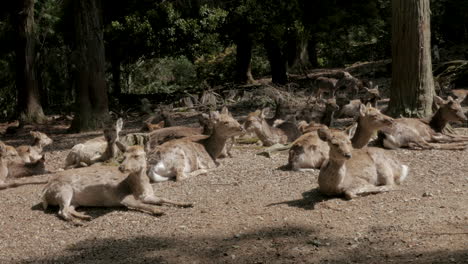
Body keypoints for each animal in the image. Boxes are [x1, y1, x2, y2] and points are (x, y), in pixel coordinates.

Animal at [41, 143, 191, 222]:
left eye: (137, 155)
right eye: (123, 156)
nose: (121, 167)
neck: (138, 190)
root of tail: (44, 191)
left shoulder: (148, 195)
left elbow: (162, 198)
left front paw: (187, 203)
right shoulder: (123, 197)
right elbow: (140, 204)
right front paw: (158, 211)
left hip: (74, 200)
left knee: (69, 209)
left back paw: (85, 216)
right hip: (63, 191)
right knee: (62, 211)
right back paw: (78, 222)